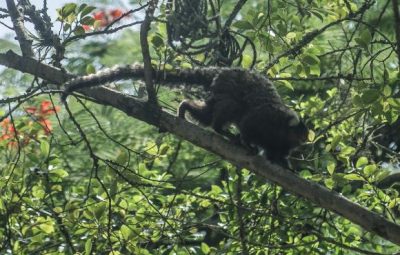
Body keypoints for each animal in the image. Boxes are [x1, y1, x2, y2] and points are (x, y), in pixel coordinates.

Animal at [179, 68, 310, 164]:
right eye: (301, 134)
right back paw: (221, 130)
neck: (282, 131)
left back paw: (185, 105)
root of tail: (227, 71)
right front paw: (247, 144)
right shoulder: (266, 118)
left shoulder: (283, 144)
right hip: (227, 86)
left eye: (305, 135)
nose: (305, 140)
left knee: (207, 115)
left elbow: (274, 152)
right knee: (232, 106)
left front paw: (284, 164)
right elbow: (247, 124)